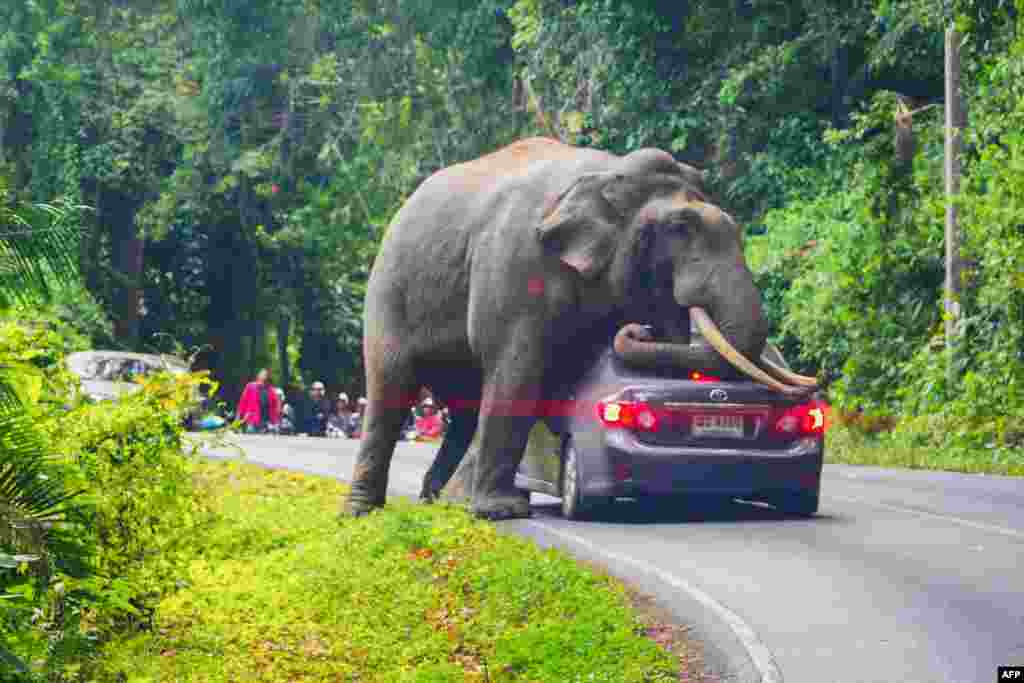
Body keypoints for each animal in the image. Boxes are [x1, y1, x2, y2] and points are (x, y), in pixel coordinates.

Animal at [343, 136, 817, 521]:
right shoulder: (516, 263)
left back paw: (440, 500)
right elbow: (518, 367)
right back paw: (363, 513)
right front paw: (502, 513)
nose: (637, 329)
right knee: (392, 384)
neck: (610, 173)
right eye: (679, 228)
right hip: (389, 289)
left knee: (463, 405)